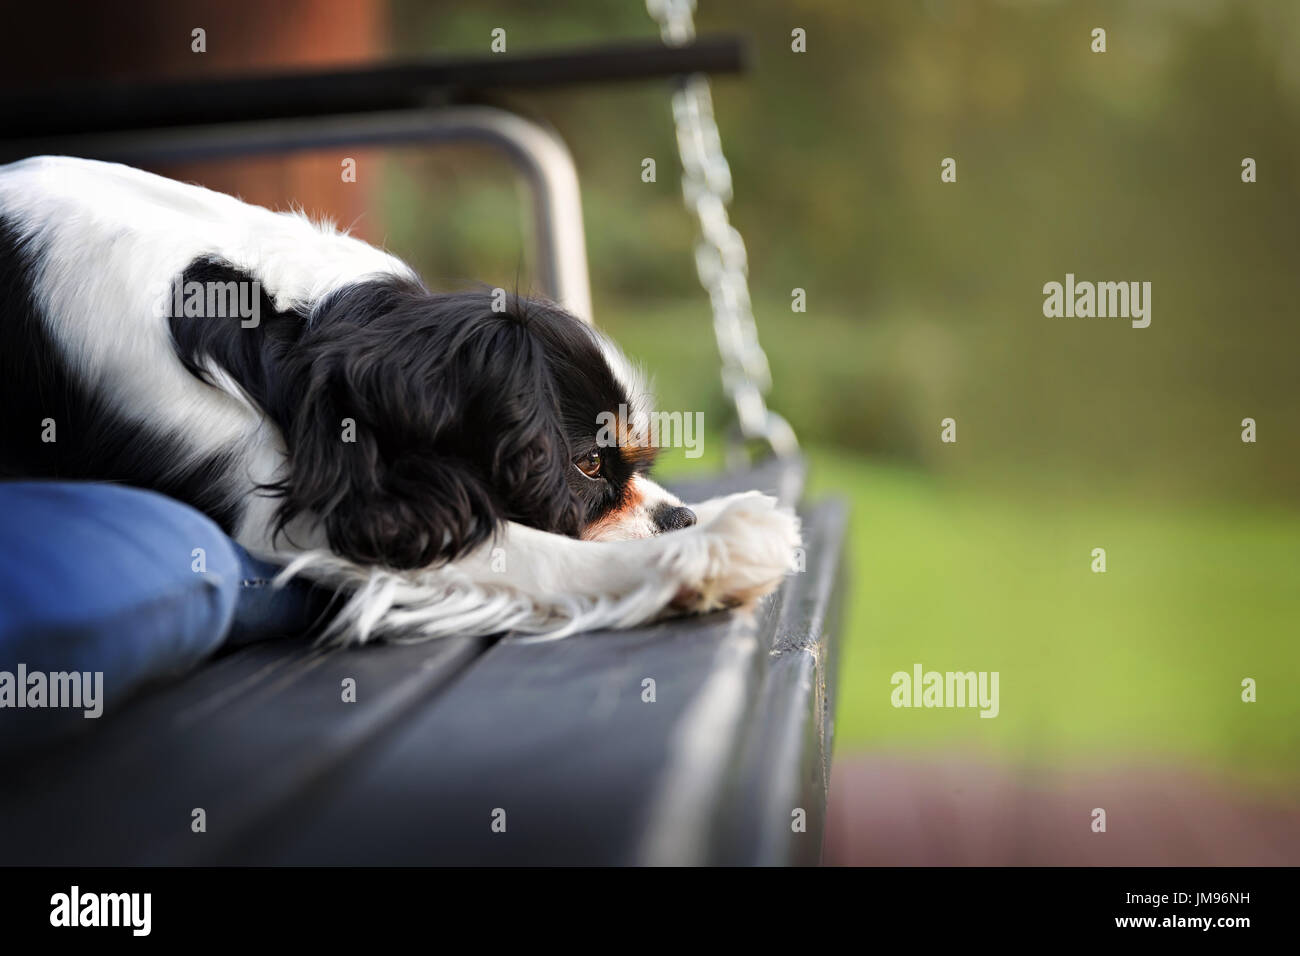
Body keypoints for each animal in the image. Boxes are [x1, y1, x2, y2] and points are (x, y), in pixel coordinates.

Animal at [0, 157, 795, 647]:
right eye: (589, 469)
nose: (679, 517)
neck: (293, 325)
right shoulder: (312, 517)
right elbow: (537, 552)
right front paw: (715, 548)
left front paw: (708, 519)